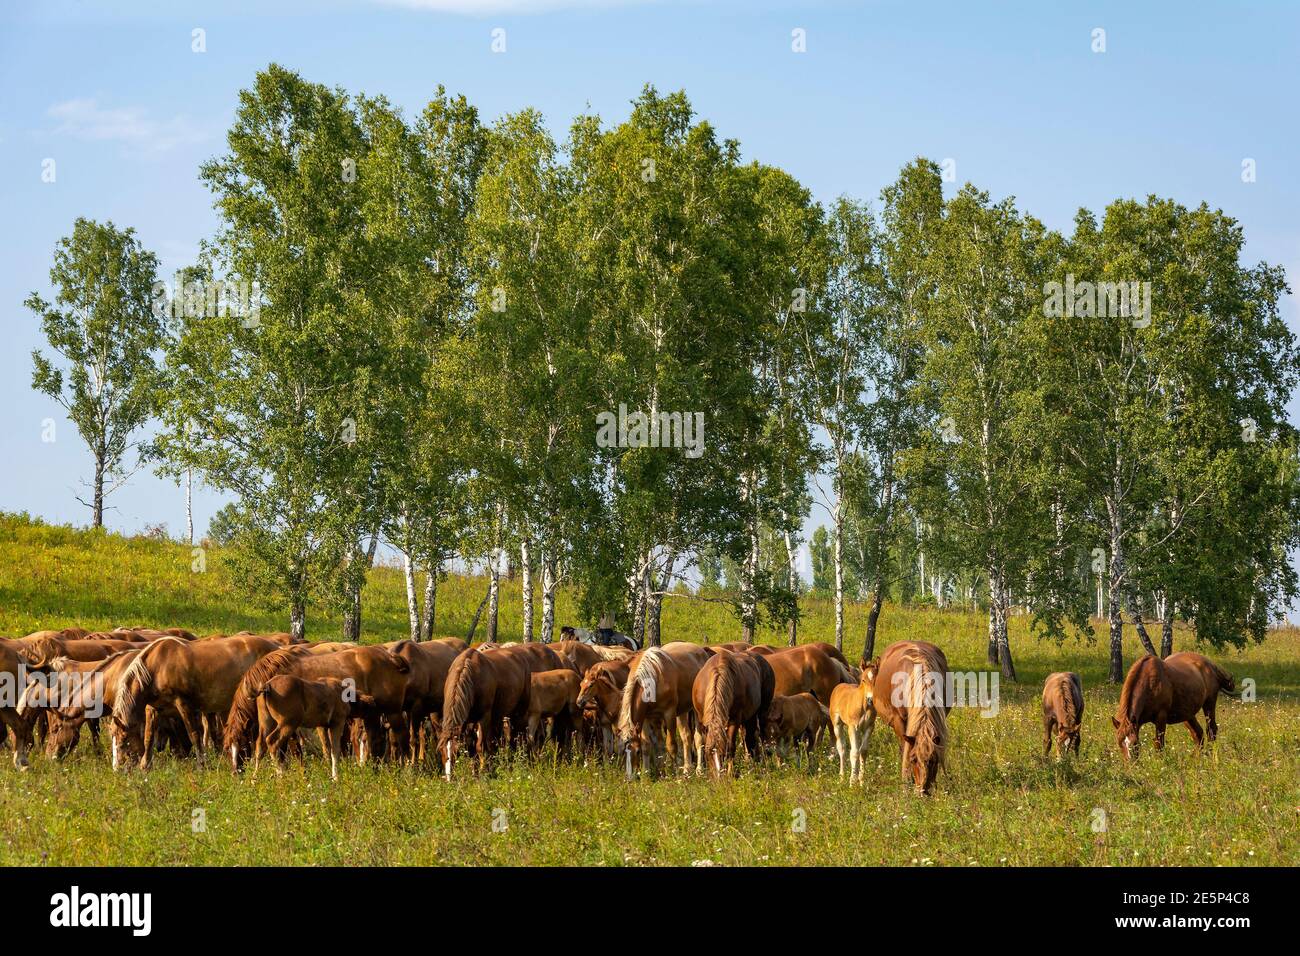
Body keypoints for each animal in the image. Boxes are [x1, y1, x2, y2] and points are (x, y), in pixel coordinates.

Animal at [111, 635, 281, 770]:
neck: (157, 667)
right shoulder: (153, 709)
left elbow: (194, 735)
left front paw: (201, 765)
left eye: (124, 740)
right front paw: (145, 766)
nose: (117, 769)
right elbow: (148, 737)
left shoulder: (184, 705)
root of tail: (276, 647)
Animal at [617, 642, 711, 777]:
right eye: (622, 752)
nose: (630, 777)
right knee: (686, 737)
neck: (653, 680)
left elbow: (671, 745)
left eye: (637, 751)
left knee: (698, 739)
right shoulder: (646, 718)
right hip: (681, 712)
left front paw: (675, 773)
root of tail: (702, 651)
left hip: (695, 711)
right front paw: (648, 773)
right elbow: (648, 745)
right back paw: (687, 768)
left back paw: (699, 769)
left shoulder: (669, 714)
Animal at [691, 648, 775, 777]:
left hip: (762, 711)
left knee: (759, 734)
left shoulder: (734, 720)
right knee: (748, 737)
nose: (718, 777)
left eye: (723, 754)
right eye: (709, 754)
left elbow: (731, 746)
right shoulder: (701, 720)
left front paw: (731, 773)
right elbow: (702, 742)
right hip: (749, 717)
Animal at [872, 641, 951, 794]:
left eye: (933, 761)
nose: (922, 792)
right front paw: (906, 780)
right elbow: (906, 748)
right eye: (913, 759)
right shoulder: (899, 720)